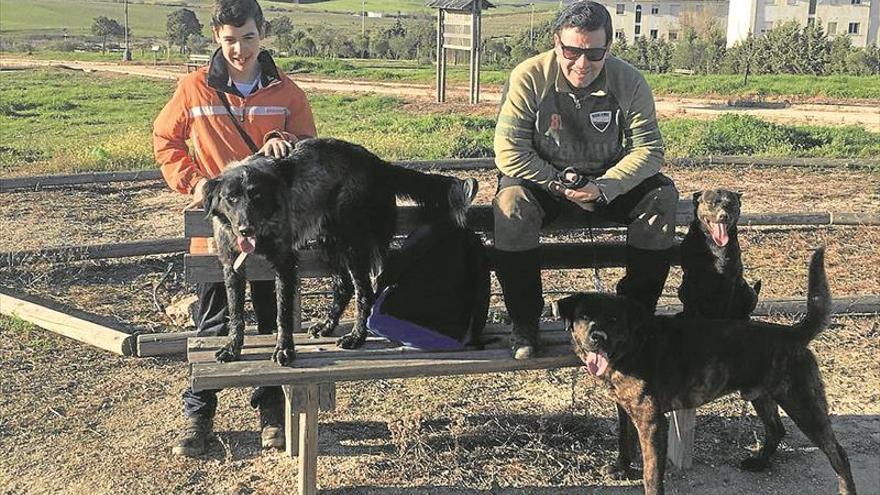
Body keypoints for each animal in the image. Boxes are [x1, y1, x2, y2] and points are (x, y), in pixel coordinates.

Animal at [203, 138, 478, 366]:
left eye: (257, 197)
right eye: (230, 198)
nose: (245, 229)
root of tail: (377, 163)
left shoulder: (285, 263)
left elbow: (283, 314)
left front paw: (284, 350)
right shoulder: (232, 268)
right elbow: (236, 314)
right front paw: (232, 348)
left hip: (352, 245)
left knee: (364, 292)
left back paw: (356, 337)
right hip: (330, 243)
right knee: (344, 286)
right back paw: (327, 326)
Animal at [556, 248, 852, 495]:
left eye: (614, 319)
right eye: (584, 316)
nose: (597, 337)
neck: (633, 346)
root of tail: (792, 333)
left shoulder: (652, 422)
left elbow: (651, 473)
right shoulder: (625, 408)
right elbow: (623, 439)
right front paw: (621, 468)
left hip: (803, 404)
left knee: (838, 453)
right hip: (761, 395)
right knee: (776, 429)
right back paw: (759, 462)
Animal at [676, 188, 760, 320]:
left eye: (730, 204)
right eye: (711, 203)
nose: (723, 216)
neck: (712, 242)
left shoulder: (728, 279)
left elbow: (724, 306)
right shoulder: (690, 276)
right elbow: (690, 303)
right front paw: (687, 316)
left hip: (749, 293)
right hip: (681, 289)